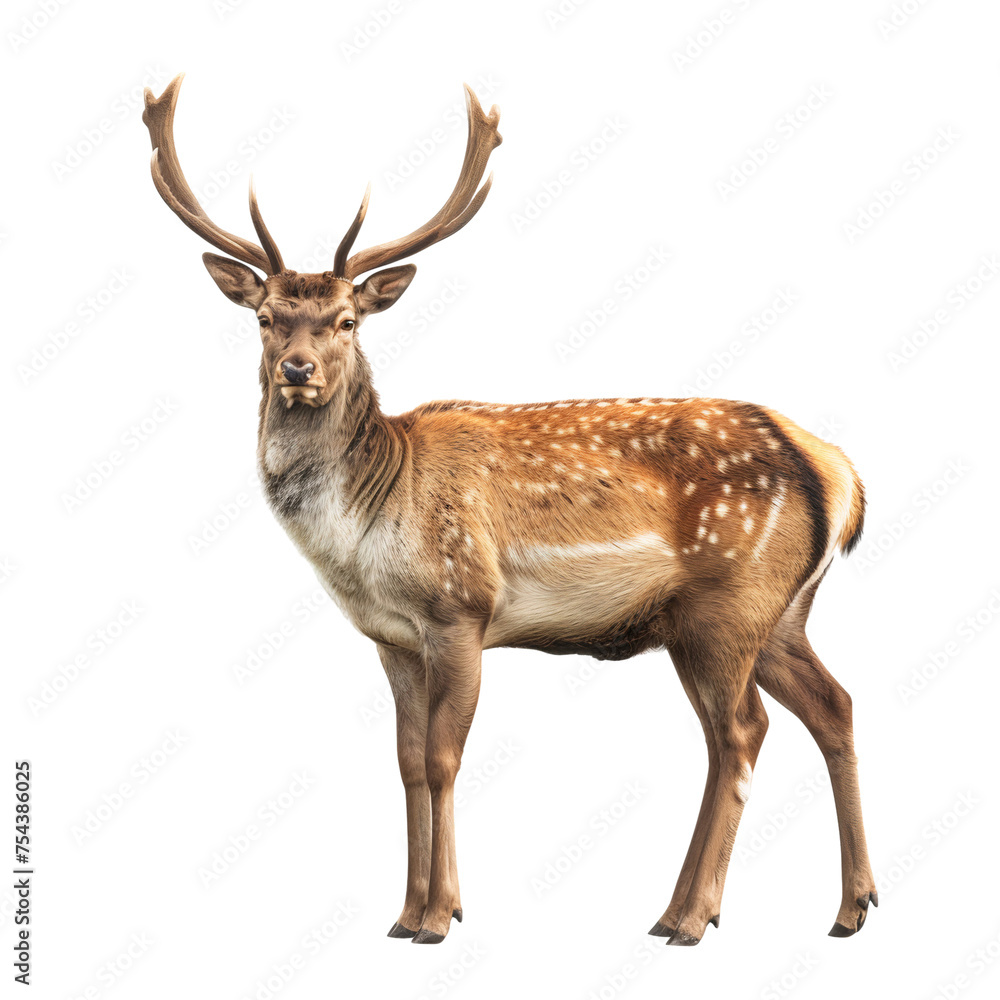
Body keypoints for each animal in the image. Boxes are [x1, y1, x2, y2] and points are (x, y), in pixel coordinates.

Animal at [142, 75, 877, 946]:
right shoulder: (392, 639)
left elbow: (442, 759)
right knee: (832, 705)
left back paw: (692, 916)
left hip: (730, 601)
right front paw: (405, 913)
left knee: (740, 733)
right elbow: (405, 762)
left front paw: (438, 916)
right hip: (777, 613)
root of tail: (838, 470)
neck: (368, 526)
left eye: (347, 321)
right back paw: (844, 906)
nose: (296, 369)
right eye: (264, 317)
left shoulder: (462, 607)